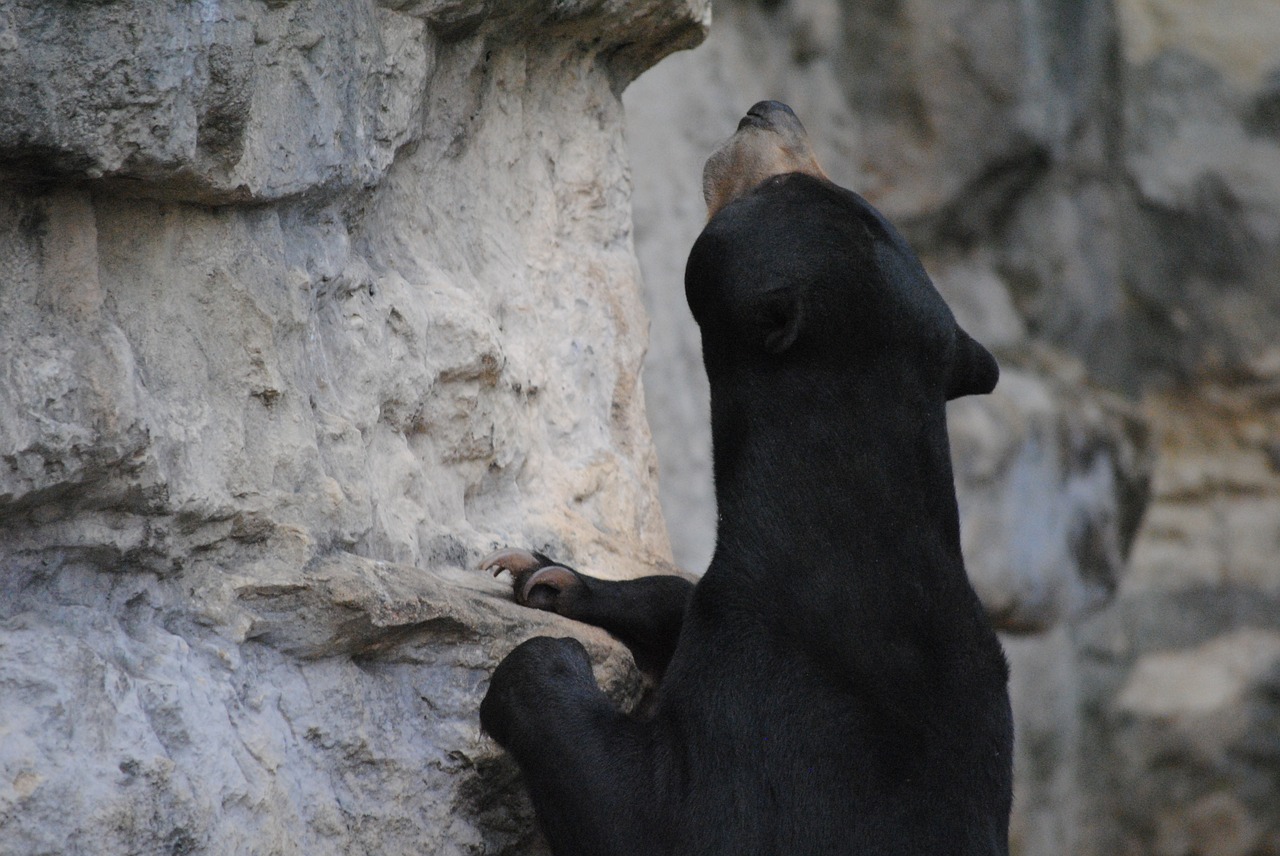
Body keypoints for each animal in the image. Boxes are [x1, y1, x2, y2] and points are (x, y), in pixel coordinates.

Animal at [478, 101, 1008, 854]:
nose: (768, 111)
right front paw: (549, 577)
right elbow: (682, 599)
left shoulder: (781, 721)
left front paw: (541, 658)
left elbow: (649, 814)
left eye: (786, 187)